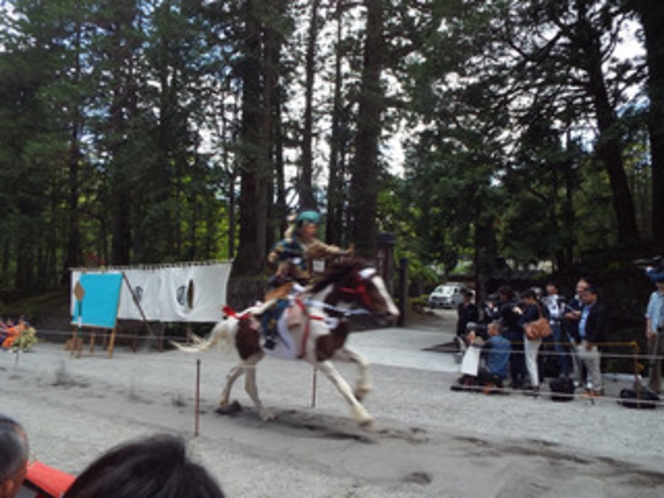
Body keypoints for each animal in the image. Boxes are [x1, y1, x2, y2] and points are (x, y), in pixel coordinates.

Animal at [172, 258, 400, 426]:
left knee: (232, 373)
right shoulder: (318, 358)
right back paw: (265, 413)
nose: (392, 313)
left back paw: (223, 402)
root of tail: (237, 318)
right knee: (249, 385)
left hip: (254, 355)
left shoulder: (334, 351)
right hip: (251, 356)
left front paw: (361, 391)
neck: (325, 313)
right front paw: (364, 417)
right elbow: (341, 385)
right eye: (370, 285)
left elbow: (363, 361)